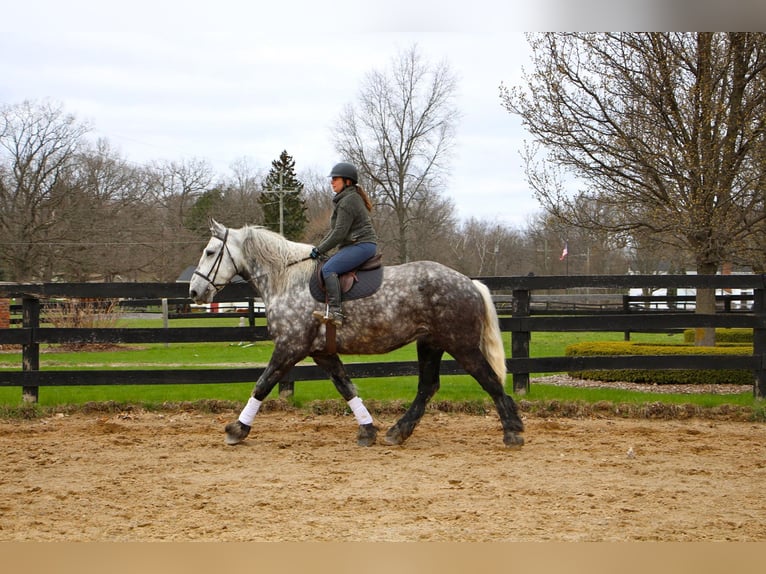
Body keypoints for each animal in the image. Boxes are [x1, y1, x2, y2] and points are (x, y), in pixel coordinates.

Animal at [190, 220, 528, 450]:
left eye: (209, 252)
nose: (194, 291)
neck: (288, 280)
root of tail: (470, 283)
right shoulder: (322, 352)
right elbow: (346, 386)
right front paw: (367, 429)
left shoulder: (289, 346)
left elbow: (262, 384)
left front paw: (237, 429)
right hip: (430, 344)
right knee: (428, 387)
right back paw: (398, 431)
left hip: (461, 345)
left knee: (488, 379)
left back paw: (512, 430)